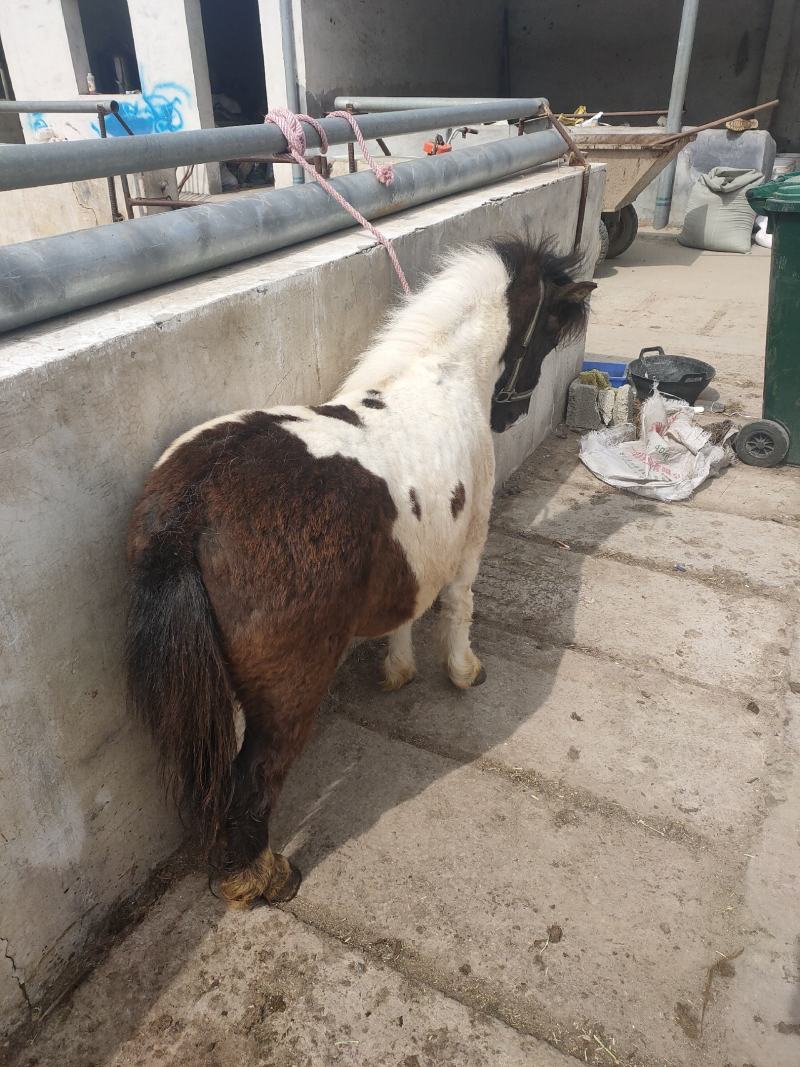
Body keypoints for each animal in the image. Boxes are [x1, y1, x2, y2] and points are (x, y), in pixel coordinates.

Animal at [125, 238, 595, 909]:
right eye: (550, 330)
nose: (514, 414)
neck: (442, 376)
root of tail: (193, 503)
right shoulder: (470, 541)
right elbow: (458, 607)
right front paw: (463, 672)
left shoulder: (413, 560)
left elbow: (405, 615)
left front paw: (398, 670)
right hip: (290, 690)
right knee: (256, 775)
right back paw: (262, 876)